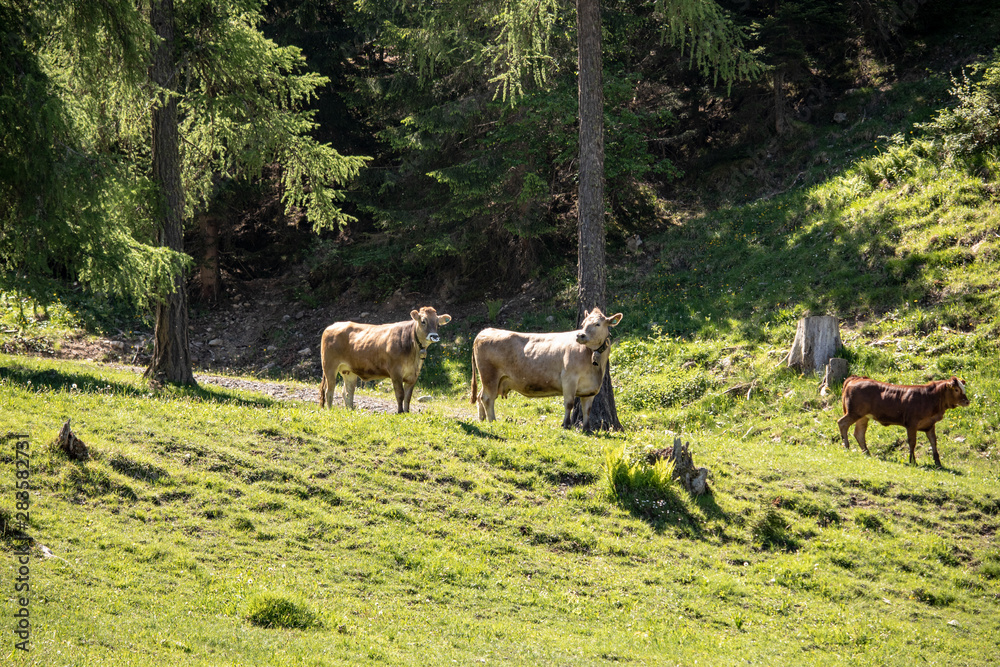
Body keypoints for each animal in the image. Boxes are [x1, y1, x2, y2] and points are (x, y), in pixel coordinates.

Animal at [319, 307, 451, 413]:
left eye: (438, 324)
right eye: (423, 321)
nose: (434, 336)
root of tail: (332, 326)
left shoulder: (413, 375)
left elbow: (408, 396)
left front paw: (407, 412)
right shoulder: (395, 372)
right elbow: (400, 394)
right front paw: (400, 412)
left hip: (348, 370)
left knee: (348, 391)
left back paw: (350, 410)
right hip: (329, 366)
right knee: (329, 390)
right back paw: (330, 410)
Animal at [470, 308, 623, 431]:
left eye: (597, 324)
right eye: (583, 324)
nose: (580, 335)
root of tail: (486, 331)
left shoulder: (591, 388)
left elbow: (587, 409)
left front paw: (587, 429)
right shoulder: (569, 379)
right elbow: (569, 403)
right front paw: (566, 425)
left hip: (494, 379)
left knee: (480, 396)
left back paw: (482, 419)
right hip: (489, 375)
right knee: (487, 398)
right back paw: (492, 421)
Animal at [837, 375, 970, 467]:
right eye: (956, 389)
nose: (967, 401)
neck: (930, 398)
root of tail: (856, 378)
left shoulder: (930, 425)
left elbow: (933, 442)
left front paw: (938, 462)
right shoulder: (911, 424)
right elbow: (912, 443)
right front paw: (913, 461)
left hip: (863, 416)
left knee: (859, 433)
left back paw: (866, 453)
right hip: (854, 412)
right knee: (842, 423)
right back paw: (847, 447)